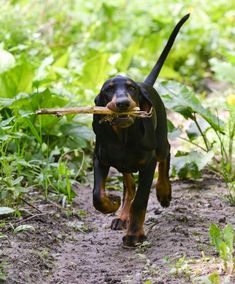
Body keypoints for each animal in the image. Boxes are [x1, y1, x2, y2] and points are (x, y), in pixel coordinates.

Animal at [92, 14, 189, 247]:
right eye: (108, 90)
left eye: (131, 88)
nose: (123, 103)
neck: (123, 137)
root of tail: (147, 83)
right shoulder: (101, 159)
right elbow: (98, 195)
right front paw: (112, 204)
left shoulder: (148, 163)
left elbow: (141, 200)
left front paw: (135, 234)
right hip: (124, 164)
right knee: (129, 186)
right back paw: (122, 216)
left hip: (160, 140)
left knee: (166, 154)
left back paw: (164, 192)